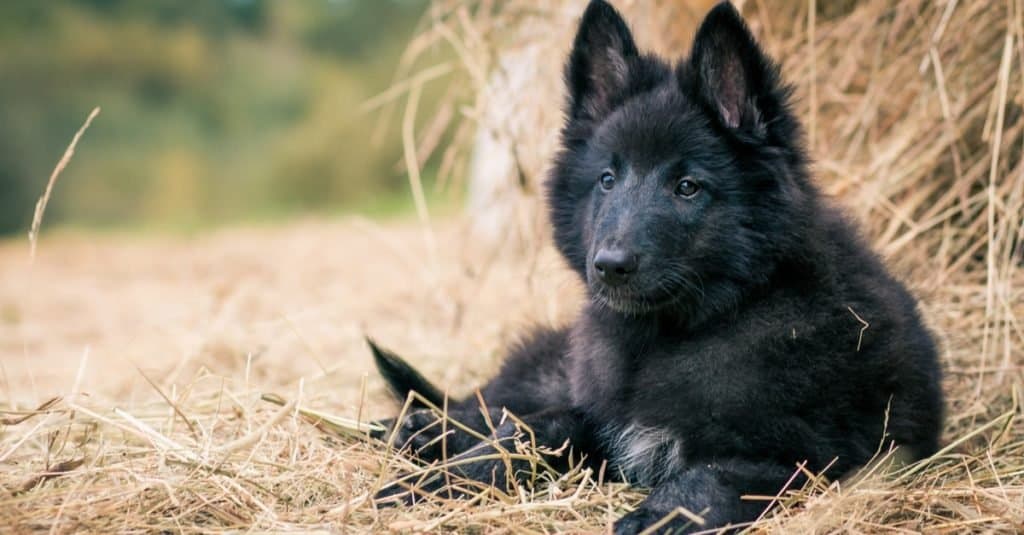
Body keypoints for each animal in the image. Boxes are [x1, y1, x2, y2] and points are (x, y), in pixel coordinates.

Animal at [370, 2, 942, 528]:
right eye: (607, 179)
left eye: (686, 186)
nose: (609, 265)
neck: (675, 335)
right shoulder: (595, 415)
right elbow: (532, 429)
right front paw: (436, 481)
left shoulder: (800, 456)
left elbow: (711, 476)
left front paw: (658, 516)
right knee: (495, 399)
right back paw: (423, 429)